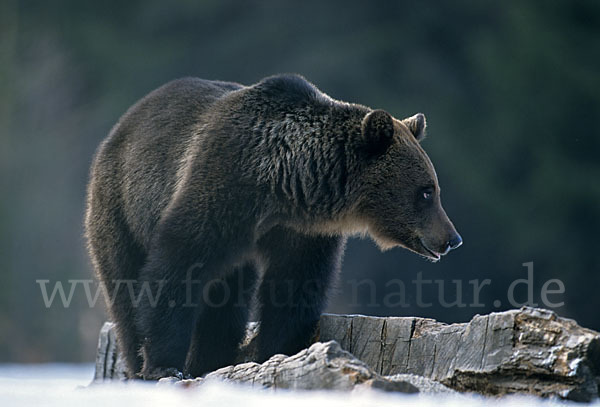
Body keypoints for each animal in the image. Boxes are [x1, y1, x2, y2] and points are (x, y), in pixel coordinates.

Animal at [84, 75, 462, 380]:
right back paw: (140, 360)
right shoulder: (221, 187)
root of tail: (122, 125)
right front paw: (164, 365)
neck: (285, 185)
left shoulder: (302, 233)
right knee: (125, 284)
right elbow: (177, 268)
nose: (452, 238)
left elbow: (294, 288)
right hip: (121, 205)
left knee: (227, 297)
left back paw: (212, 358)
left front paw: (276, 351)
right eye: (426, 191)